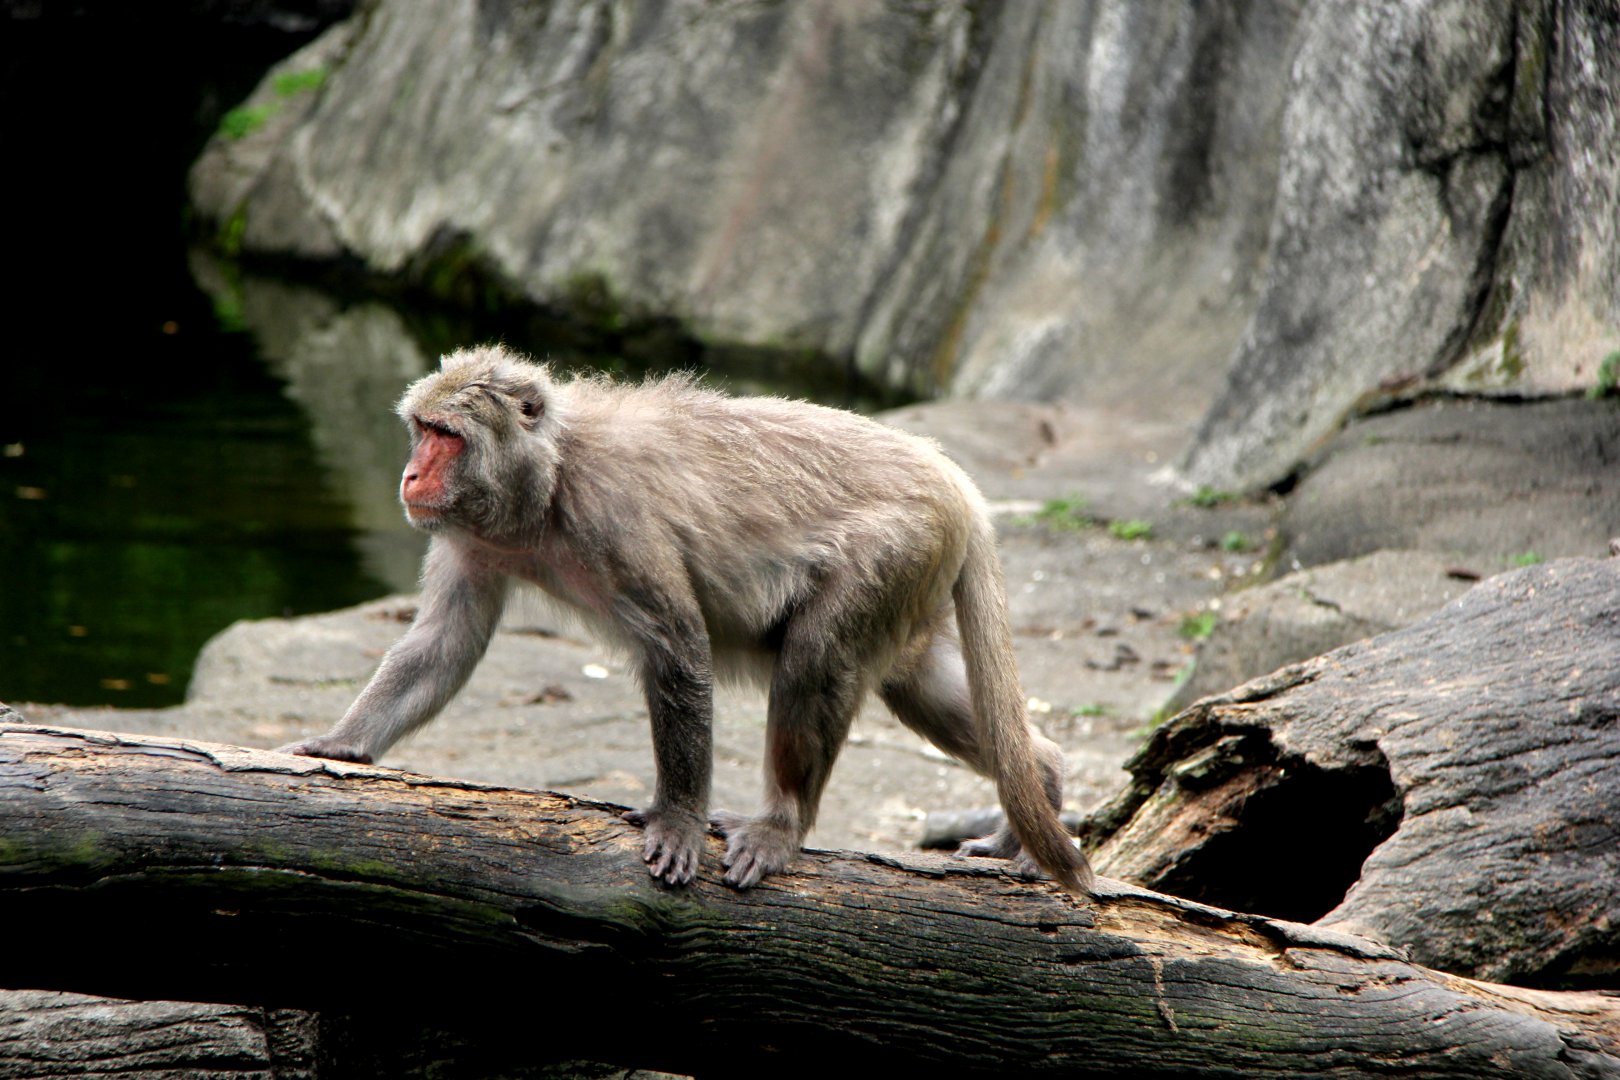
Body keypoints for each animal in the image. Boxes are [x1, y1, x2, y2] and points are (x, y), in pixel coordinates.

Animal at [280, 344, 1093, 895]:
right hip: (919, 579)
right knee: (916, 685)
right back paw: (1041, 785)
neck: (551, 481)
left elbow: (676, 646)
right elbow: (443, 645)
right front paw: (341, 744)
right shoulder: (473, 539)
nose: (412, 474)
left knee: (816, 658)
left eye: (446, 436)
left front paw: (676, 818)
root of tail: (951, 477)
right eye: (421, 429)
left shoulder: (616, 516)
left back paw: (783, 824)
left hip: (895, 549)